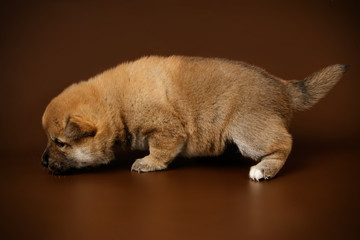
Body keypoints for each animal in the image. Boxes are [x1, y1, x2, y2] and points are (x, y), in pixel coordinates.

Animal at [40, 55, 348, 180]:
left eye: (60, 143)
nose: (42, 161)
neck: (113, 104)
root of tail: (283, 86)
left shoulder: (166, 131)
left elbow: (160, 151)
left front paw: (147, 163)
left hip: (248, 130)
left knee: (284, 143)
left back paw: (264, 169)